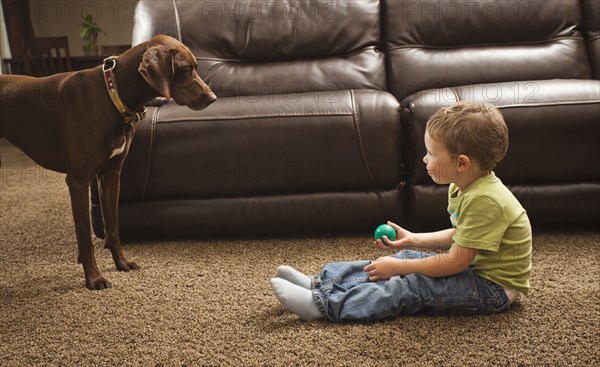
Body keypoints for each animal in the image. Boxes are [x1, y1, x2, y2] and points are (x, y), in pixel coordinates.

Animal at [0, 36, 216, 292]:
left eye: (196, 67)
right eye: (184, 69)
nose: (212, 98)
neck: (112, 94)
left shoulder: (111, 176)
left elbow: (113, 228)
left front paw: (121, 263)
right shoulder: (78, 181)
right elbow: (85, 238)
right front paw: (93, 279)